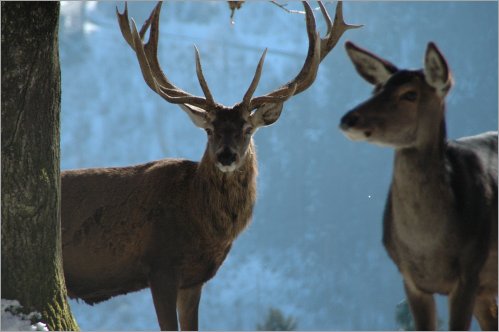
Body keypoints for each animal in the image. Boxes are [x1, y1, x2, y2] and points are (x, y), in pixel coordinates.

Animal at [61, 1, 360, 330]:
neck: (202, 224)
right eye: (209, 129)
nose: (225, 156)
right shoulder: (160, 267)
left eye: (247, 129)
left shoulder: (195, 279)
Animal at [342, 42, 498, 332]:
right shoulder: (410, 279)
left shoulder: (469, 272)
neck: (428, 248)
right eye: (377, 89)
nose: (349, 119)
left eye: (410, 94)